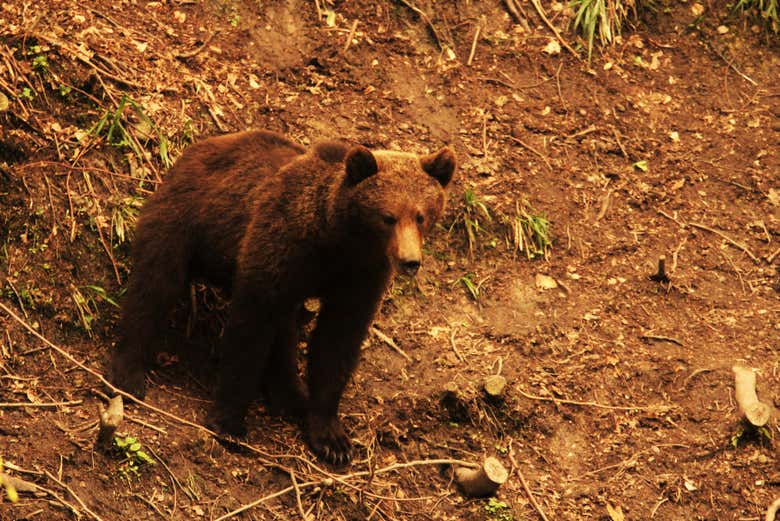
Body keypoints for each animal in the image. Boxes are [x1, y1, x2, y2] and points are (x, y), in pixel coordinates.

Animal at [110, 129, 456, 464]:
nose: (410, 261)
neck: (338, 239)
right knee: (154, 285)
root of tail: (201, 146)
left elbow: (337, 342)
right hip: (185, 217)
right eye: (388, 216)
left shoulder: (360, 278)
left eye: (421, 216)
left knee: (285, 329)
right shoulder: (280, 247)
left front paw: (332, 439)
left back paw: (290, 395)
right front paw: (229, 422)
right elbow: (250, 330)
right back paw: (128, 374)